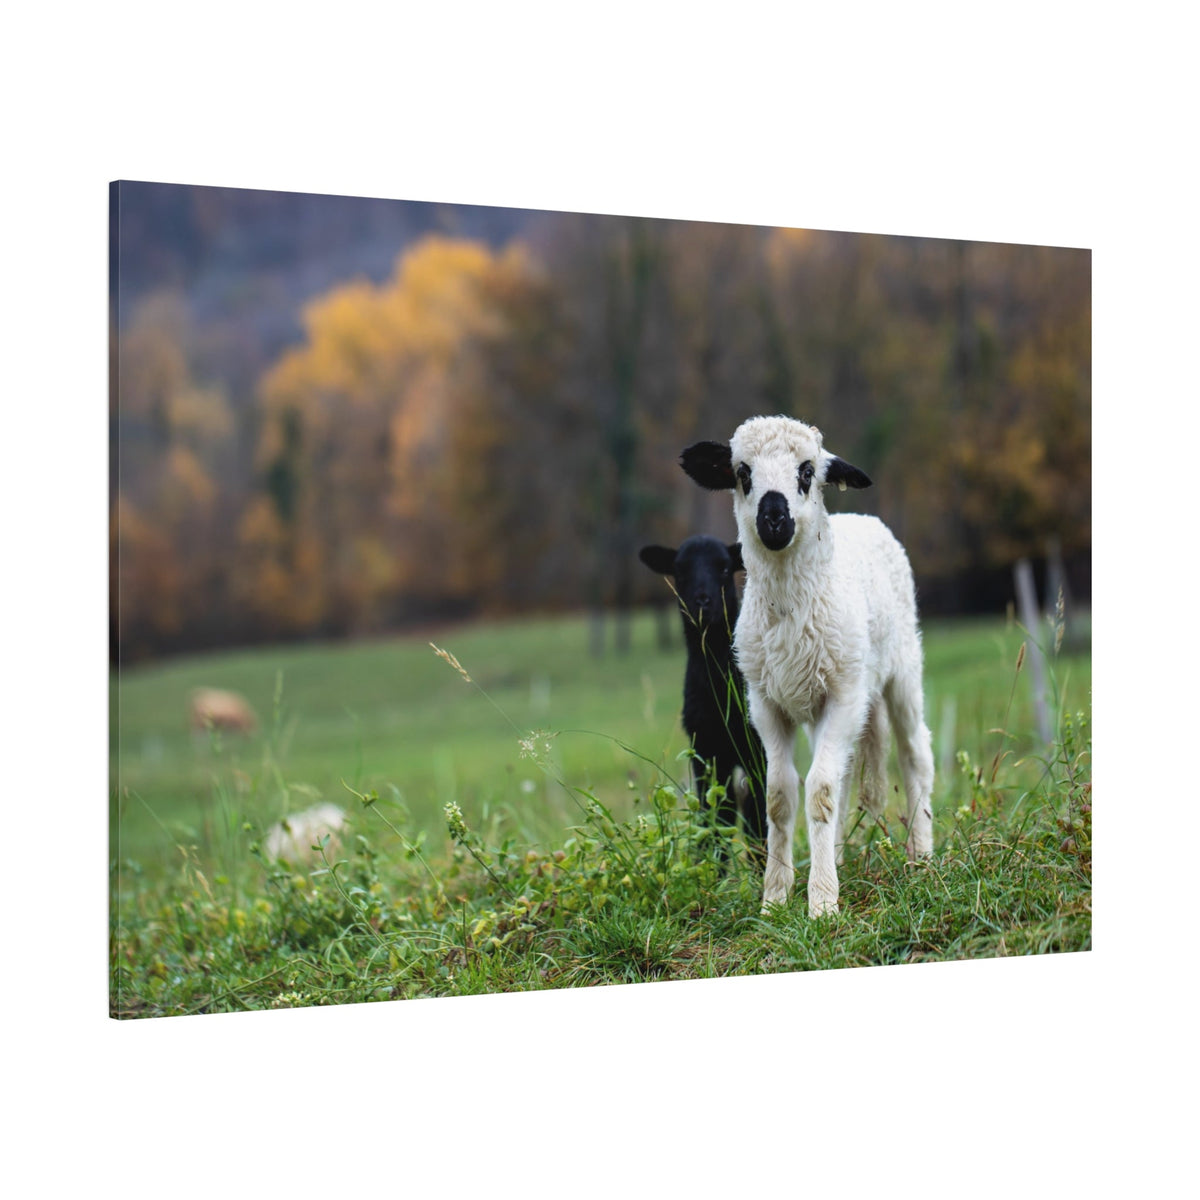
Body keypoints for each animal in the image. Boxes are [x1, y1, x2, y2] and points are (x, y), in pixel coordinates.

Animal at [639, 536, 768, 857]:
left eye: (724, 568)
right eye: (679, 570)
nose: (702, 601)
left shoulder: (756, 748)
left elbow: (757, 817)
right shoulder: (704, 749)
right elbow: (713, 817)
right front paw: (710, 863)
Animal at [680, 415, 934, 916]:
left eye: (807, 471)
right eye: (742, 473)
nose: (773, 518)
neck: (790, 613)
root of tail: (862, 518)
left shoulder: (842, 695)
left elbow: (818, 791)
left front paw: (821, 904)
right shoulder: (765, 704)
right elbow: (782, 795)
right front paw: (775, 899)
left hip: (900, 671)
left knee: (915, 754)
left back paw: (924, 855)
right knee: (843, 776)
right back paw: (837, 856)